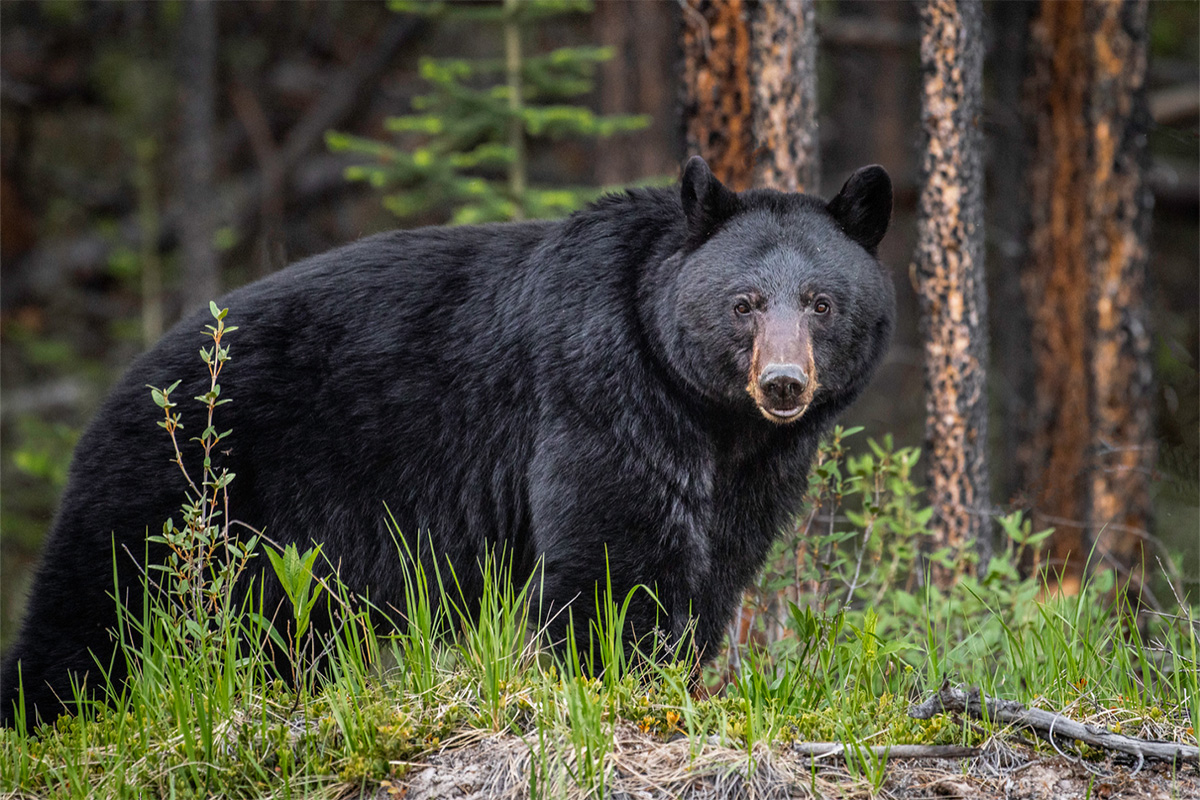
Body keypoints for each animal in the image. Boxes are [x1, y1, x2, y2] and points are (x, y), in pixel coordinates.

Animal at [0, 155, 892, 734]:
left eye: (820, 302)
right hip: (184, 482)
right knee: (101, 606)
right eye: (744, 303)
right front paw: (616, 675)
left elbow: (720, 558)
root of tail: (125, 381)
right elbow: (615, 547)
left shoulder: (754, 469)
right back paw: (46, 713)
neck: (709, 415)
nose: (783, 383)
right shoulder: (601, 390)